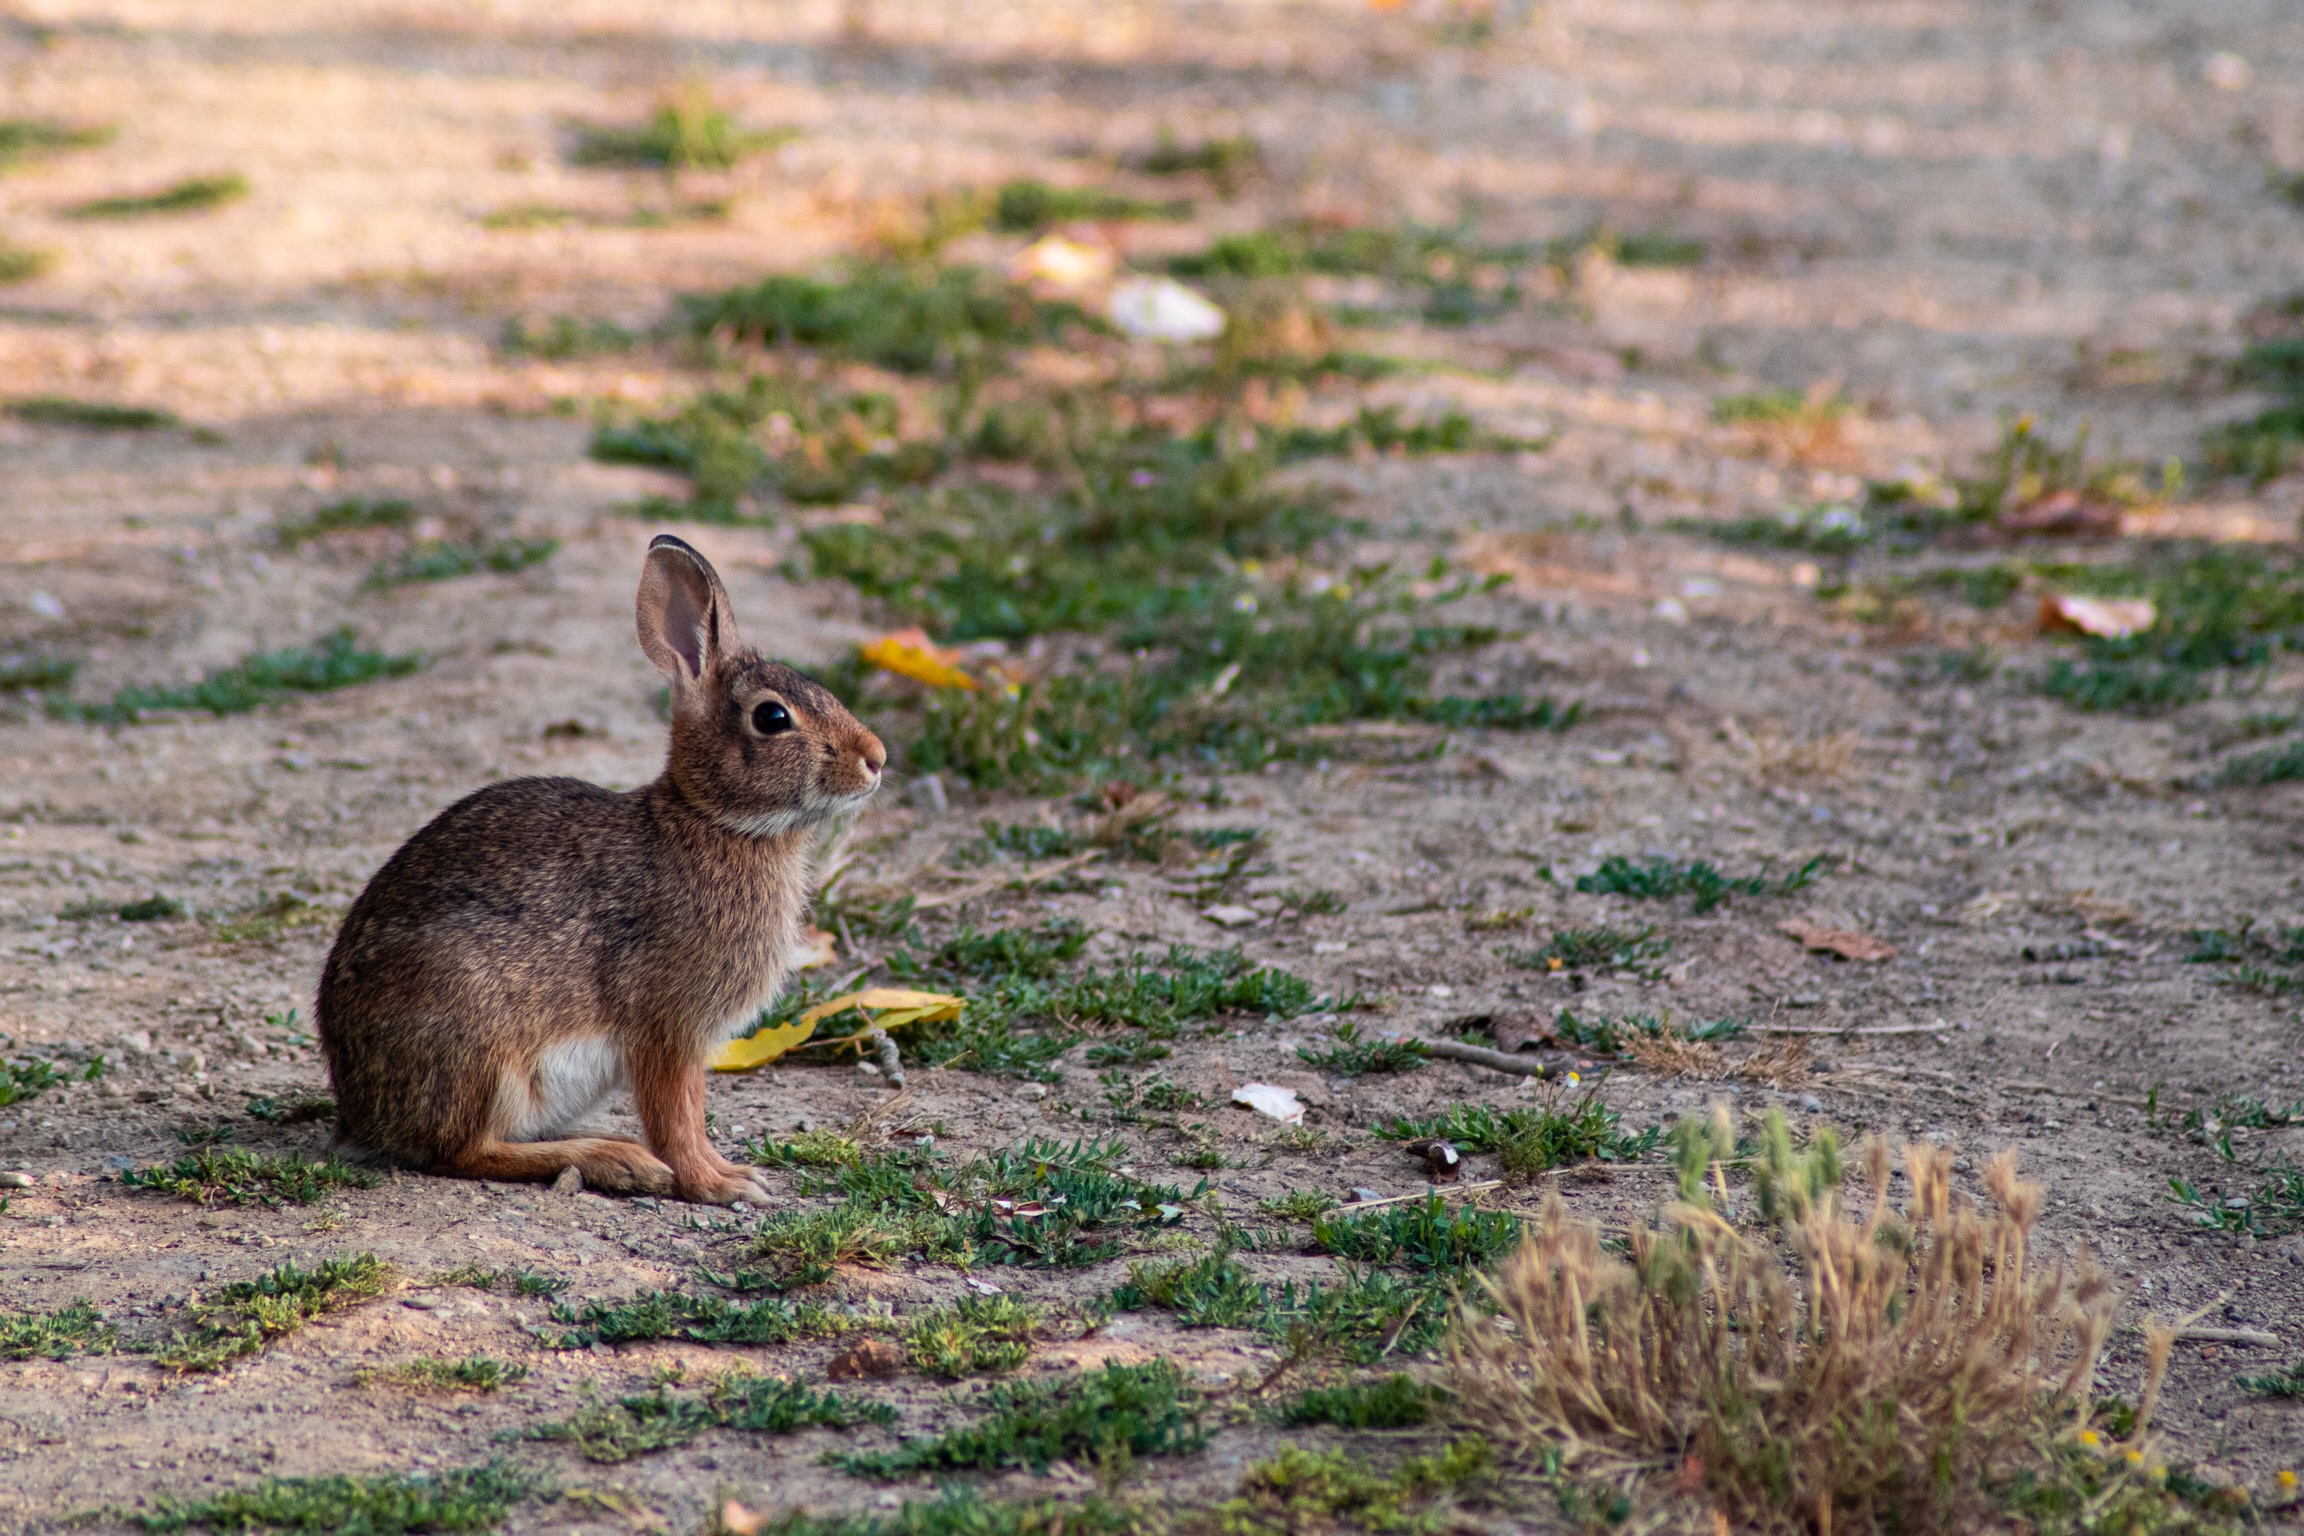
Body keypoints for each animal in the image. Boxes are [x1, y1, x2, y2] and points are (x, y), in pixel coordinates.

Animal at [316, 533, 886, 1205]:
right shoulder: (668, 1028)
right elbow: (678, 1116)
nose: (877, 759)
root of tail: (359, 1108)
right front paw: (721, 1182)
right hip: (480, 1038)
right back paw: (617, 1161)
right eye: (772, 718)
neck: (713, 820)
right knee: (462, 1151)